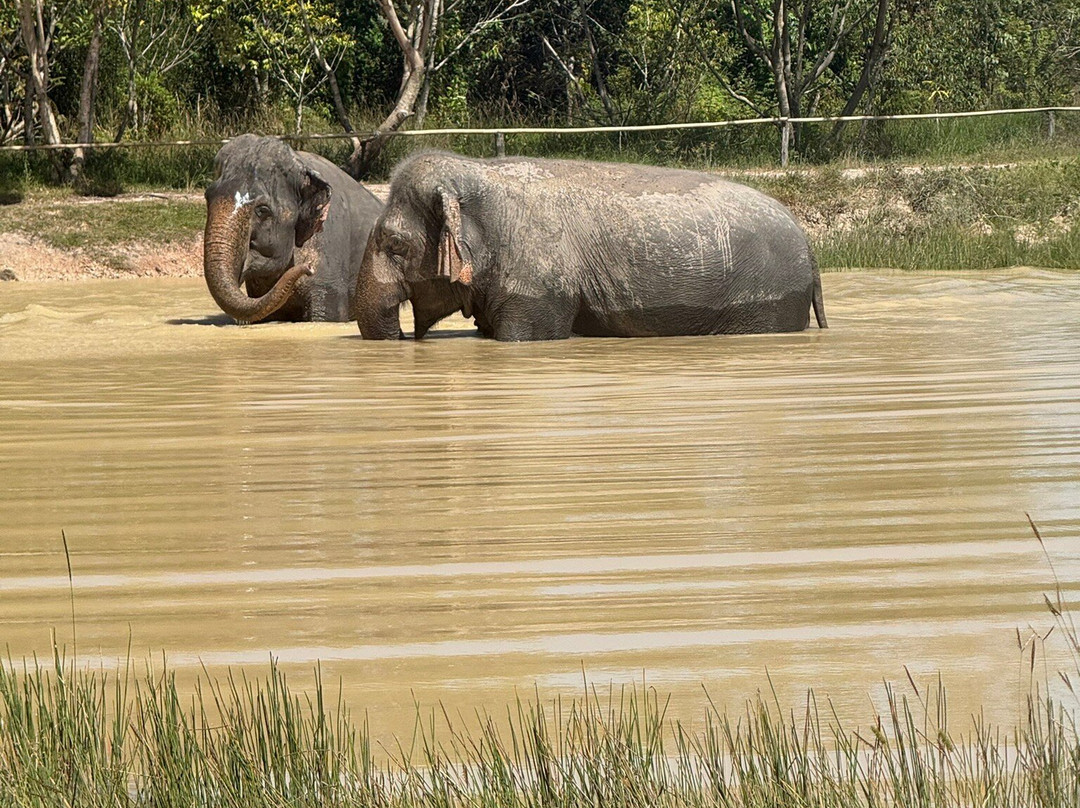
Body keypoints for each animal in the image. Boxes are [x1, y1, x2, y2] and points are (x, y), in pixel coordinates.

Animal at [355, 151, 827, 341]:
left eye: (395, 244)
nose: (402, 335)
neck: (476, 173)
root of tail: (810, 246)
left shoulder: (538, 286)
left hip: (765, 304)